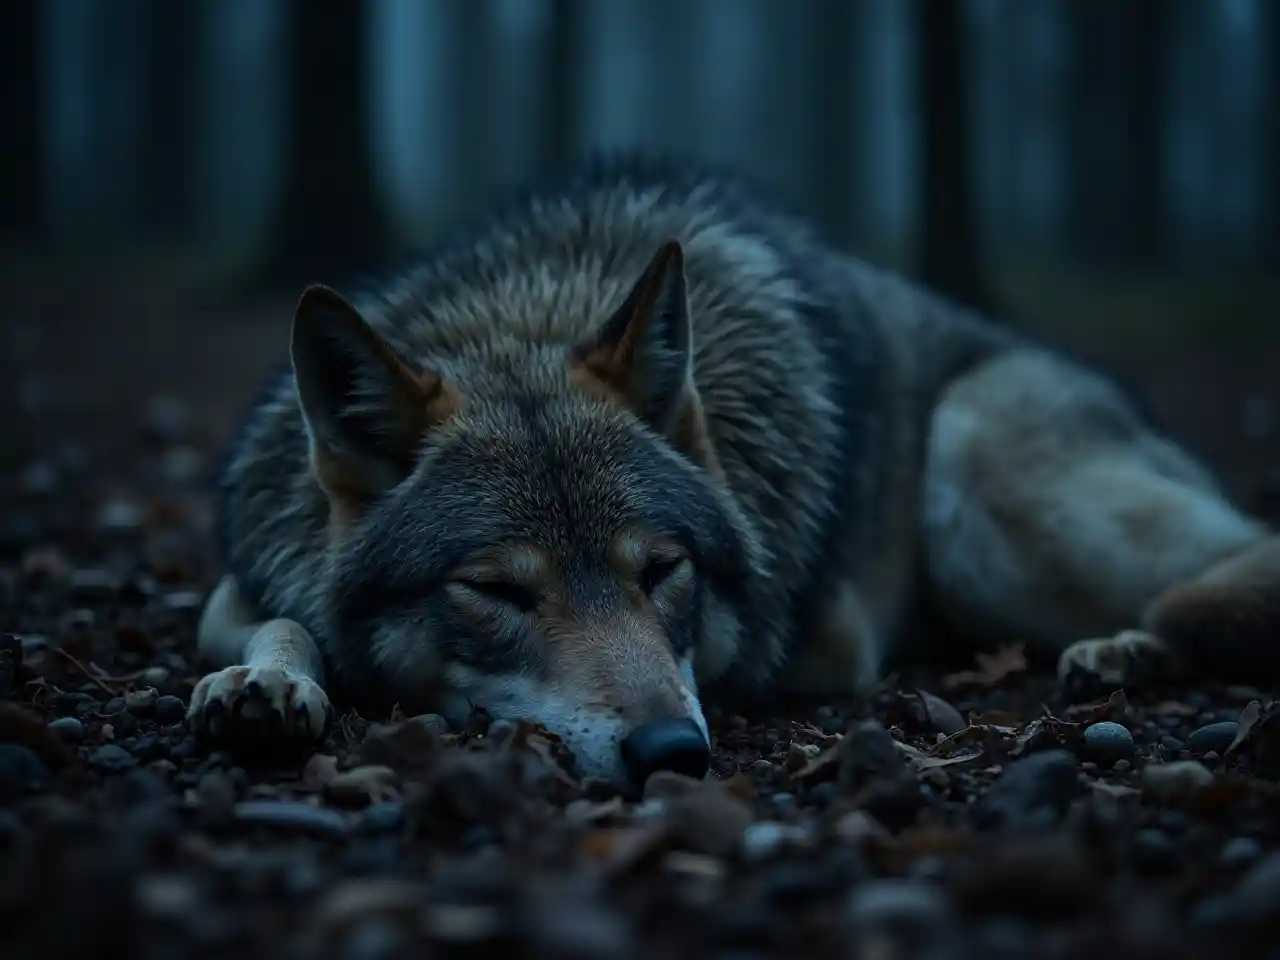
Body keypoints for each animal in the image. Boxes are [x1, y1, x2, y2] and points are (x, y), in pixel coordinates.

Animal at [188, 155, 1280, 790]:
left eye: (661, 572)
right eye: (495, 591)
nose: (672, 755)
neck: (528, 306)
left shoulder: (833, 638)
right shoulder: (241, 575)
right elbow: (280, 623)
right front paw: (264, 684)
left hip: (983, 492)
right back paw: (1125, 655)